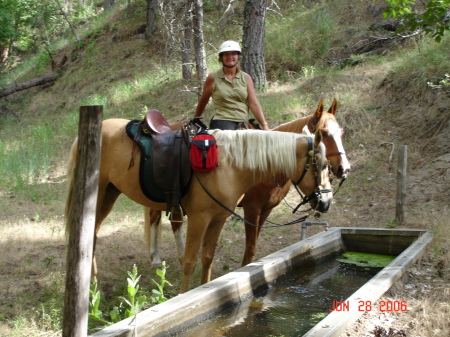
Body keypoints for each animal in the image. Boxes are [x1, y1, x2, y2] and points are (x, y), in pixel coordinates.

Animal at [65, 119, 332, 292]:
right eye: (323, 164)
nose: (326, 202)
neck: (229, 165)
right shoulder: (199, 219)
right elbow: (190, 260)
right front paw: (184, 295)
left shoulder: (218, 219)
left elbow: (207, 257)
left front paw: (205, 289)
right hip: (98, 195)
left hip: (110, 193)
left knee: (93, 235)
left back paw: (93, 283)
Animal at [144, 98, 348, 266]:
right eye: (324, 133)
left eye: (341, 133)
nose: (344, 168)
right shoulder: (252, 209)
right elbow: (251, 247)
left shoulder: (266, 210)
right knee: (155, 216)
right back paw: (155, 257)